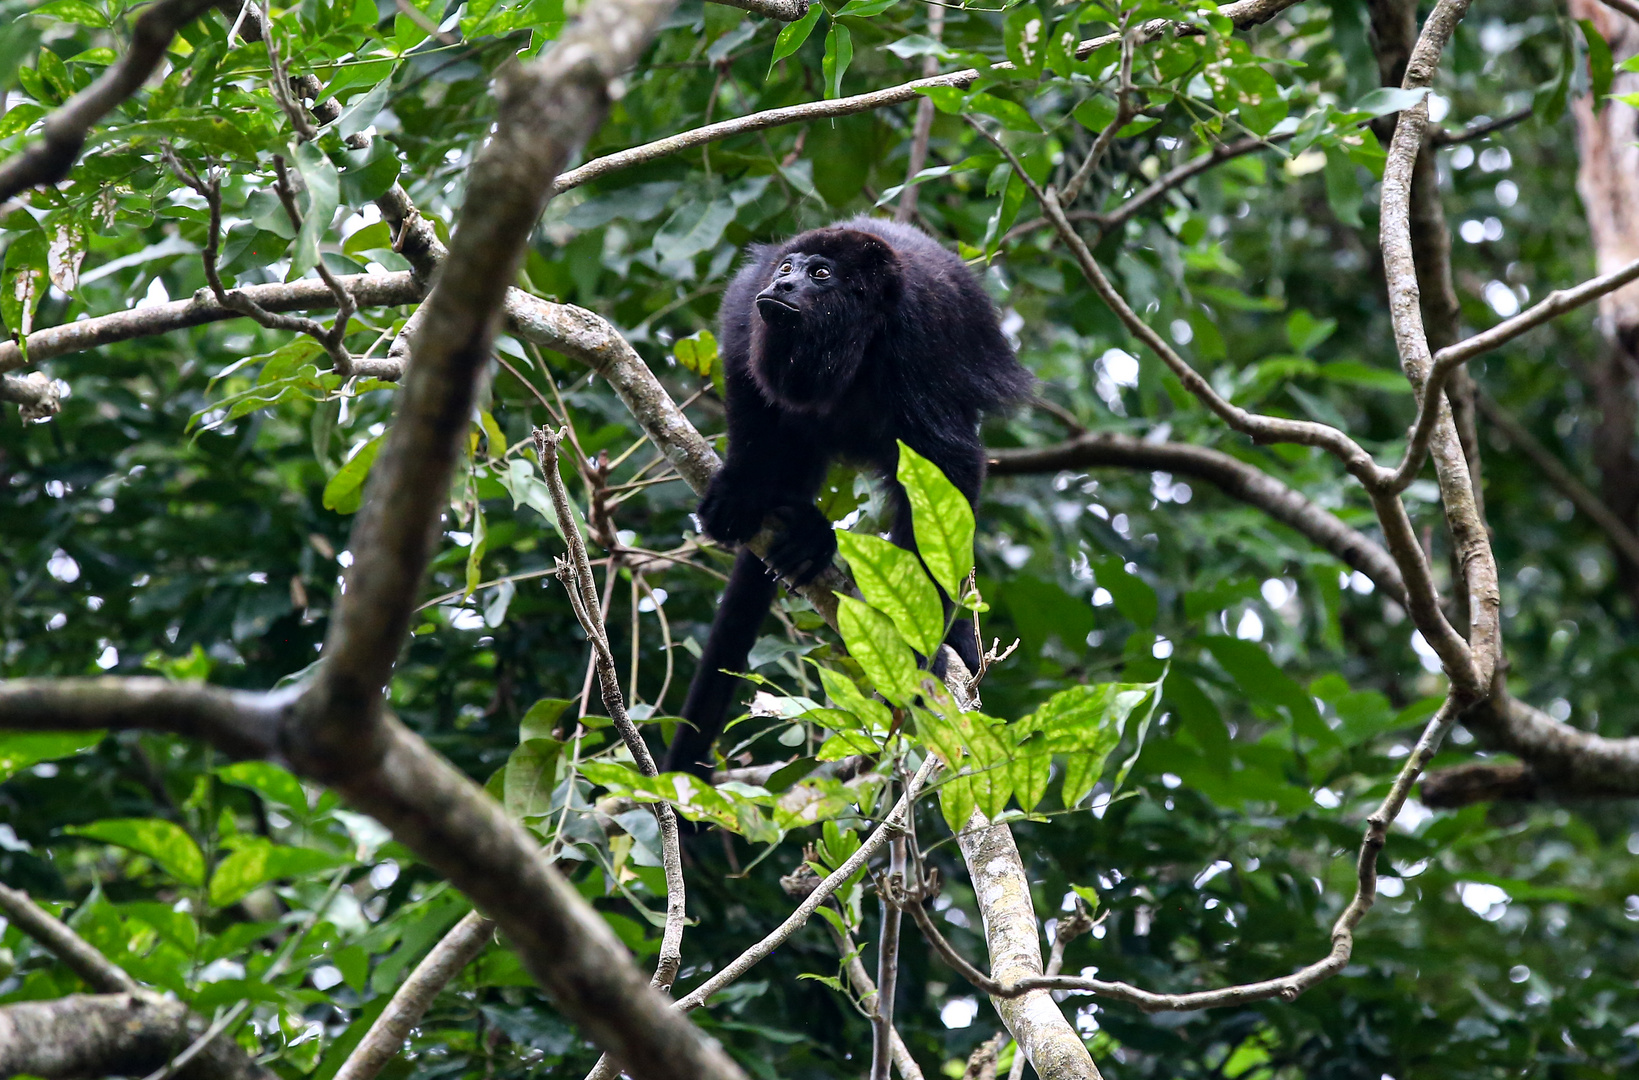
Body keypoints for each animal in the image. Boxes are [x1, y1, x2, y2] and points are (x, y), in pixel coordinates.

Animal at [658, 219, 1029, 776]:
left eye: (820, 274)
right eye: (787, 267)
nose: (784, 283)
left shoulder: (922, 342)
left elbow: (947, 473)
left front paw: (919, 637)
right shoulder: (748, 309)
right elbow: (747, 387)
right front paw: (742, 491)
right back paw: (803, 531)